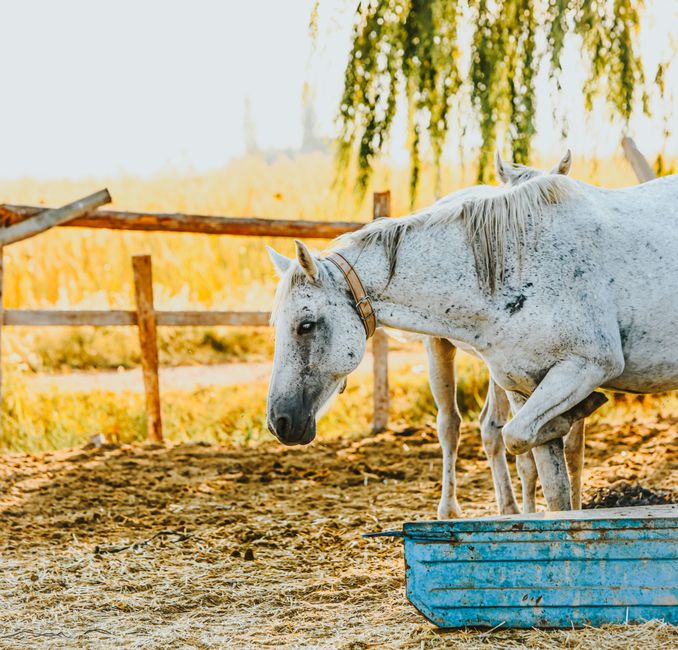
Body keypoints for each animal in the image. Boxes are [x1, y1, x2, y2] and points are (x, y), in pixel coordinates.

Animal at [267, 166, 678, 512]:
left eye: (306, 325)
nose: (279, 422)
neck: (520, 261)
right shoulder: (524, 387)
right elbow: (545, 476)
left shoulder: (587, 366)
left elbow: (517, 435)